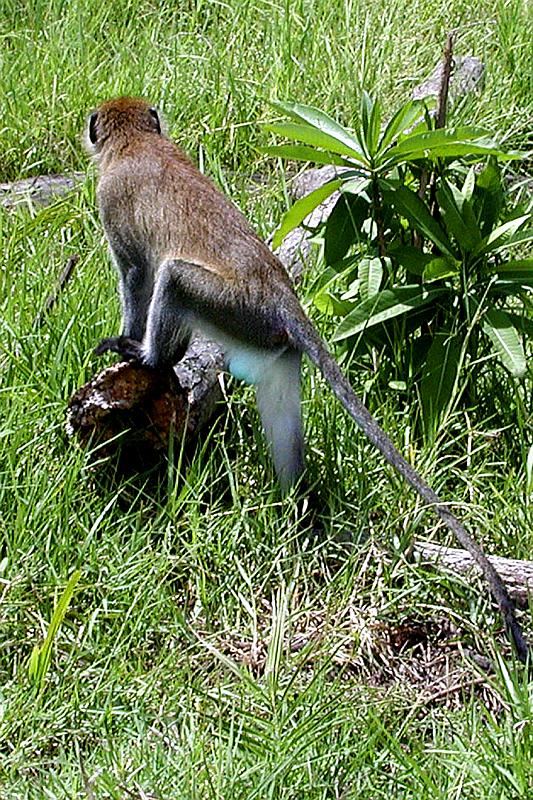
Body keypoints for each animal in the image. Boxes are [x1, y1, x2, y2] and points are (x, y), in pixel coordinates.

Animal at [85, 97, 528, 664]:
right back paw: (297, 509)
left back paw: (156, 356)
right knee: (282, 419)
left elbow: (137, 276)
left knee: (174, 277)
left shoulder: (111, 205)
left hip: (233, 307)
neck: (135, 143)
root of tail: (282, 296)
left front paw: (130, 342)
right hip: (264, 337)